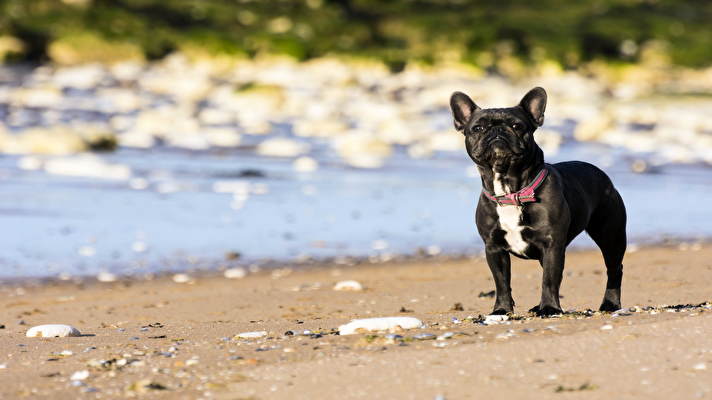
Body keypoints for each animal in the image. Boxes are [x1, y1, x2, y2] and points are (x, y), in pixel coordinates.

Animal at [454, 87, 624, 316]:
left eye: (517, 126)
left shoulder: (552, 245)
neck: (512, 191)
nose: (498, 131)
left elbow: (549, 279)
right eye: (478, 128)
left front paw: (550, 308)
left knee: (614, 269)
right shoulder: (494, 248)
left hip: (610, 235)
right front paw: (501, 309)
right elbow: (501, 282)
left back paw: (610, 303)